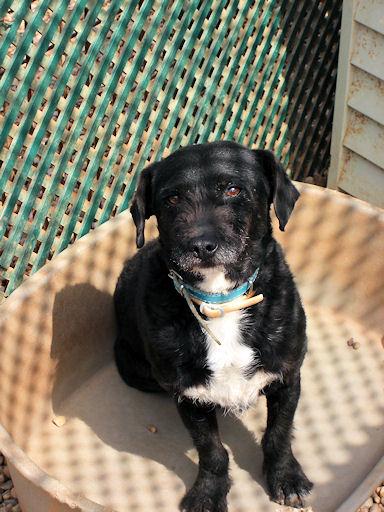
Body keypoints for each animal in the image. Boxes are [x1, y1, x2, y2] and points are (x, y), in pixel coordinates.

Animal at [114, 138, 312, 510]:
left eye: (233, 189)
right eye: (171, 198)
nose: (201, 245)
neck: (220, 301)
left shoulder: (288, 376)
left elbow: (279, 434)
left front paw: (286, 477)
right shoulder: (190, 396)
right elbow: (211, 451)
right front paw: (209, 491)